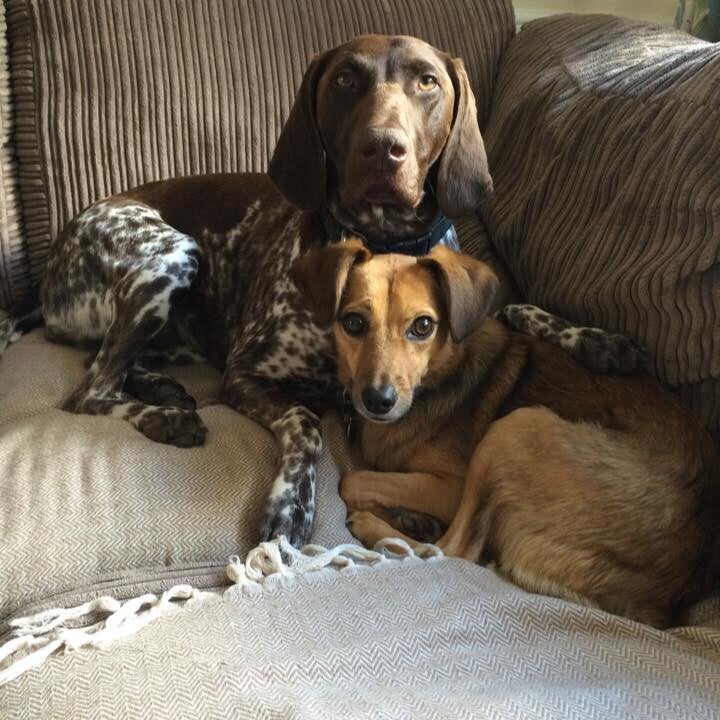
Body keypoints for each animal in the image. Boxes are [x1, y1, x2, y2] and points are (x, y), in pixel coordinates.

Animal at [0, 35, 643, 547]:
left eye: (427, 82)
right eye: (345, 79)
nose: (383, 147)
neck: (382, 242)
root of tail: (51, 269)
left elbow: (510, 303)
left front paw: (595, 339)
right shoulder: (246, 376)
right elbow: (306, 423)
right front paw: (291, 505)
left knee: (105, 363)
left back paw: (162, 387)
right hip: (172, 253)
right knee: (89, 390)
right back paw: (165, 417)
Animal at [292, 240, 720, 626]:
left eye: (423, 326)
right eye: (353, 323)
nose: (378, 400)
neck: (437, 379)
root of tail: (664, 601)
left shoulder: (451, 487)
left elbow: (353, 480)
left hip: (514, 428)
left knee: (455, 550)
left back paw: (379, 527)